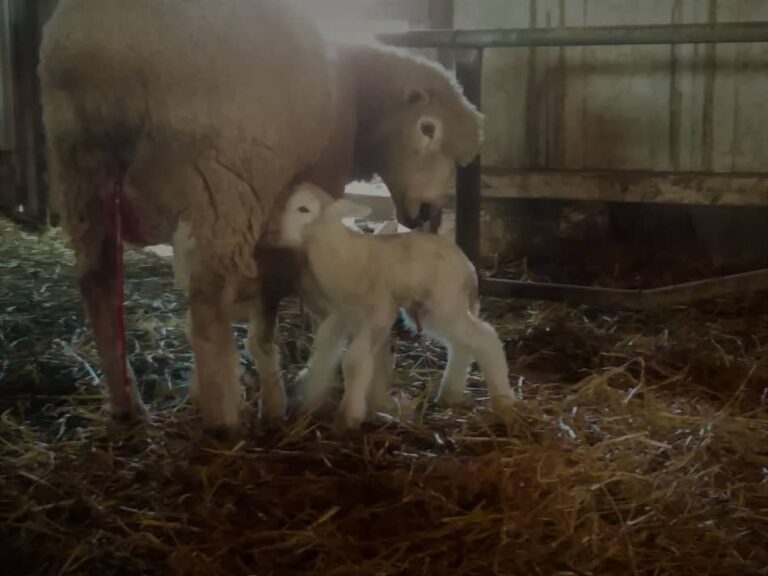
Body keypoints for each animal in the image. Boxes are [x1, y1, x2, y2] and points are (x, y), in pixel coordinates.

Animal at [278, 182, 516, 430]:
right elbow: (323, 349)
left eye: (303, 209)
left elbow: (354, 360)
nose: (274, 232)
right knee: (461, 343)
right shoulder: (341, 315)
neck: (345, 257)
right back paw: (450, 394)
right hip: (433, 309)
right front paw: (306, 396)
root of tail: (467, 266)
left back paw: (504, 403)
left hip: (444, 303)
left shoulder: (379, 313)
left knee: (485, 338)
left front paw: (348, 417)